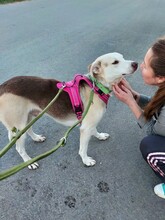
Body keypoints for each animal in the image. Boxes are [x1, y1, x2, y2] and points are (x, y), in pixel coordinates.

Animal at [0, 52, 137, 169]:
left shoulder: (88, 124)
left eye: (123, 57)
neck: (96, 87)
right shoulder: (85, 128)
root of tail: (2, 87)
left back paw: (37, 138)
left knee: (28, 130)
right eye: (115, 62)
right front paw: (86, 160)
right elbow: (83, 149)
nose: (135, 63)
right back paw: (29, 162)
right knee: (19, 148)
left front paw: (100, 136)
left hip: (28, 118)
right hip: (18, 127)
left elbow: (95, 131)